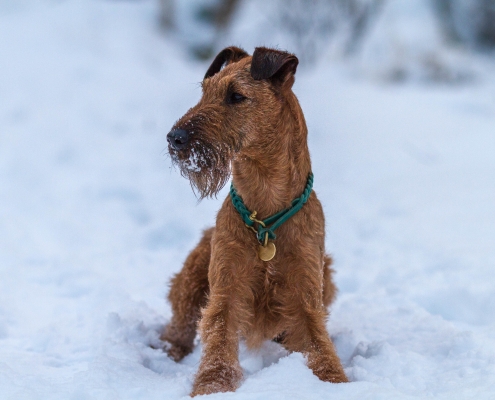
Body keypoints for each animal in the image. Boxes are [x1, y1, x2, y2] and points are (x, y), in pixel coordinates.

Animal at [163, 45, 348, 396]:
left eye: (236, 96)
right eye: (205, 92)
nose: (174, 137)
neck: (265, 218)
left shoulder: (306, 292)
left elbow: (318, 344)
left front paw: (334, 382)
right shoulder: (227, 286)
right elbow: (218, 335)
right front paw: (213, 385)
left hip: (327, 274)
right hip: (194, 270)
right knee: (180, 326)